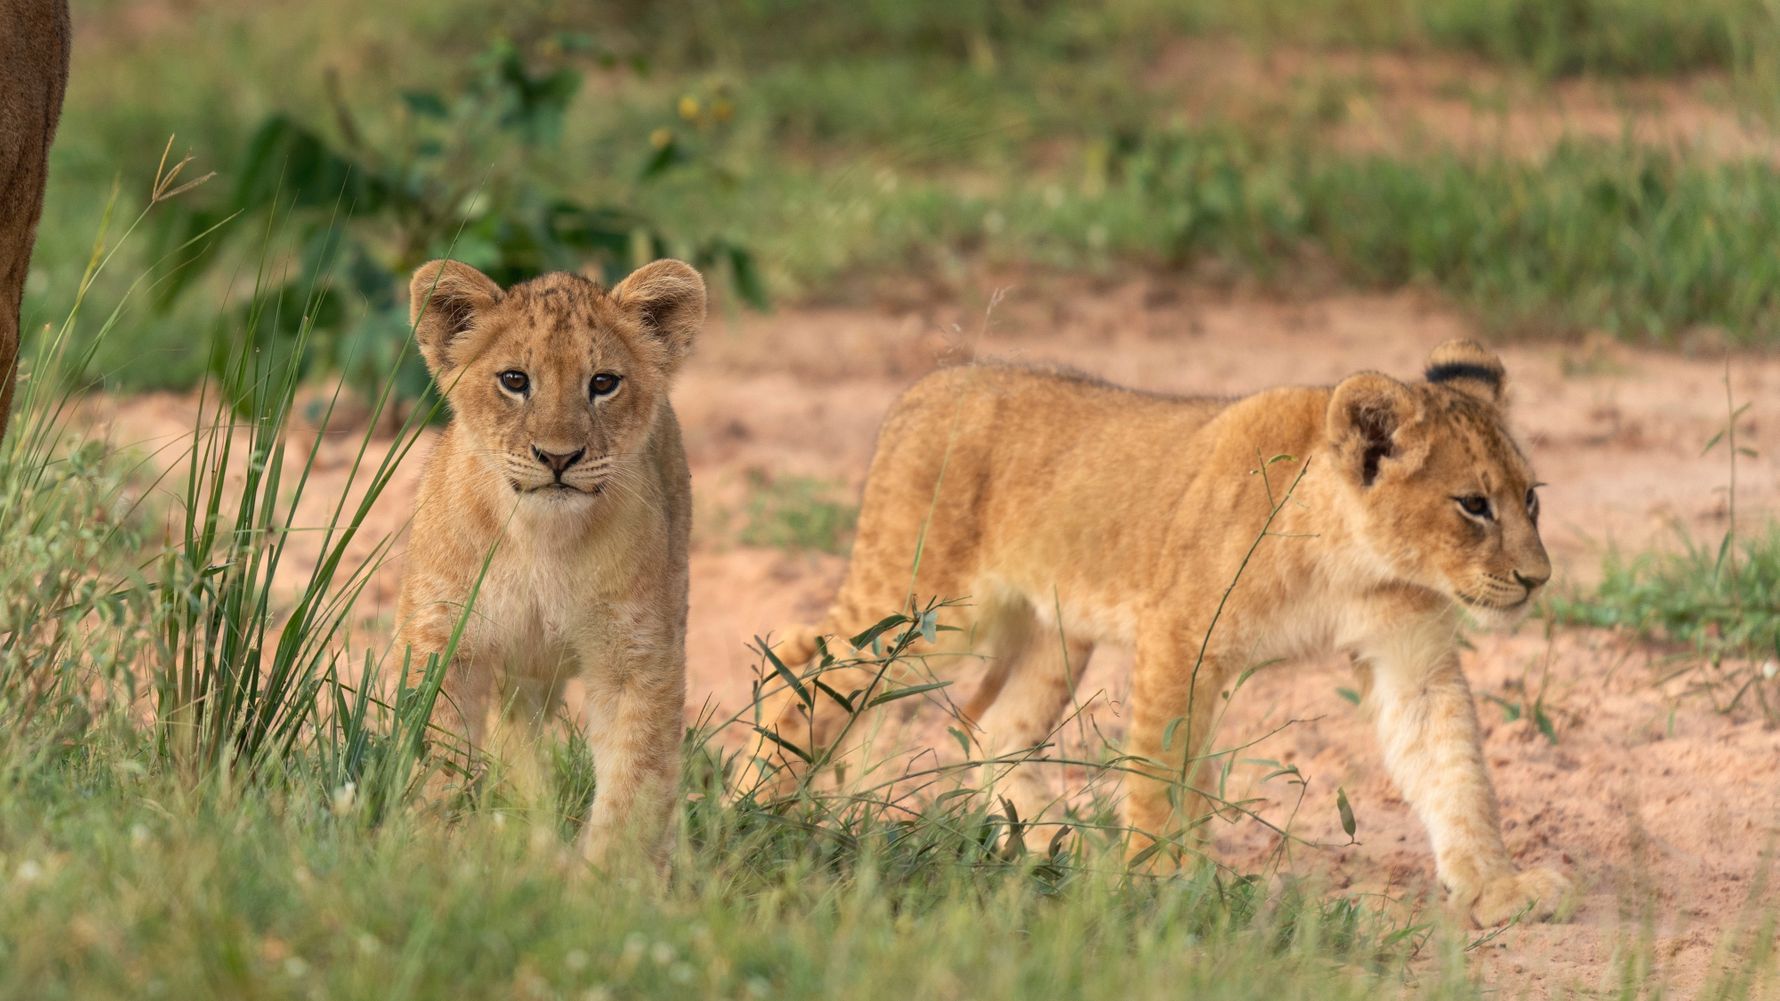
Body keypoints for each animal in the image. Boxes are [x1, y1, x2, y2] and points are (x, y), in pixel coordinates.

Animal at [395, 258, 702, 870]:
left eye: (603, 383)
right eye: (515, 381)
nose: (558, 457)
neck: (542, 542)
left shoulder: (636, 657)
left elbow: (636, 774)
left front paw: (609, 876)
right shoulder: (444, 635)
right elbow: (436, 749)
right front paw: (437, 851)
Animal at [754, 339, 1570, 925]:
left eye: (1531, 498)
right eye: (1472, 504)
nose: (1538, 578)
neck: (1354, 563)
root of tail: (925, 387)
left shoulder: (1412, 659)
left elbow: (1456, 771)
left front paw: (1497, 889)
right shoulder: (1180, 639)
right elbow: (1160, 770)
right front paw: (1156, 882)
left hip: (1053, 631)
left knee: (993, 724)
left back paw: (1053, 845)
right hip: (922, 609)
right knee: (803, 658)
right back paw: (755, 815)